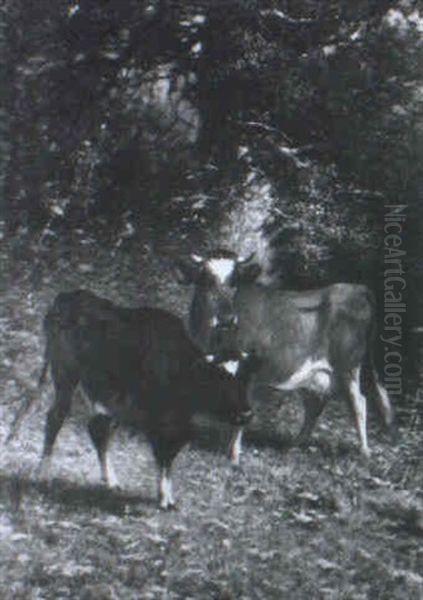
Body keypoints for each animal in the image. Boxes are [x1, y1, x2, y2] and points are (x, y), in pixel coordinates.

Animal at [36, 288, 253, 508]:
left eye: (244, 381)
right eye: (219, 381)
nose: (246, 414)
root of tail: (67, 297)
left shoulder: (176, 426)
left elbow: (170, 455)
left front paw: (168, 497)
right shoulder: (158, 422)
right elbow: (163, 456)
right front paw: (164, 498)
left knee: (98, 429)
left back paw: (111, 481)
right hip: (65, 376)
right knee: (56, 418)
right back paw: (43, 475)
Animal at [175, 248, 394, 460]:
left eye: (235, 280)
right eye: (206, 279)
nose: (226, 319)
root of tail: (357, 288)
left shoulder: (246, 367)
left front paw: (234, 454)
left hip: (349, 366)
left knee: (359, 403)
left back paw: (364, 452)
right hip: (313, 373)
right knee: (315, 406)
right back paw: (293, 446)